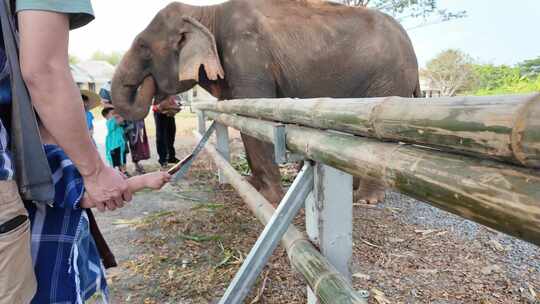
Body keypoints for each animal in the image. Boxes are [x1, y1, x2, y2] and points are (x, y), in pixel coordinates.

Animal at [110, 0, 422, 205]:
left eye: (143, 47)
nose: (163, 100)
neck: (205, 12)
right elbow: (244, 120)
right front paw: (253, 186)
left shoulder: (247, 55)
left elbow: (256, 120)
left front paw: (268, 199)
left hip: (389, 80)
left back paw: (365, 200)